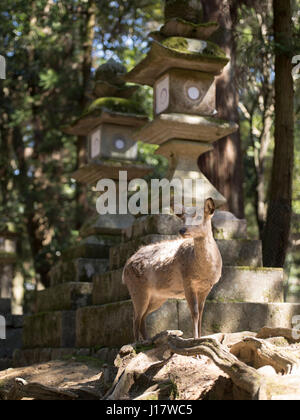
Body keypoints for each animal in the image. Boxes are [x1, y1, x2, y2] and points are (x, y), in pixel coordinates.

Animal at [122, 198, 223, 342]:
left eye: (199, 217)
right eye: (183, 218)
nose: (182, 230)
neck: (204, 271)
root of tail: (125, 268)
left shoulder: (207, 287)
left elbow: (201, 313)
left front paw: (201, 337)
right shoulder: (187, 281)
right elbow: (195, 312)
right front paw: (195, 339)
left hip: (157, 297)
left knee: (142, 318)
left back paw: (148, 341)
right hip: (137, 289)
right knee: (135, 318)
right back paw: (137, 343)